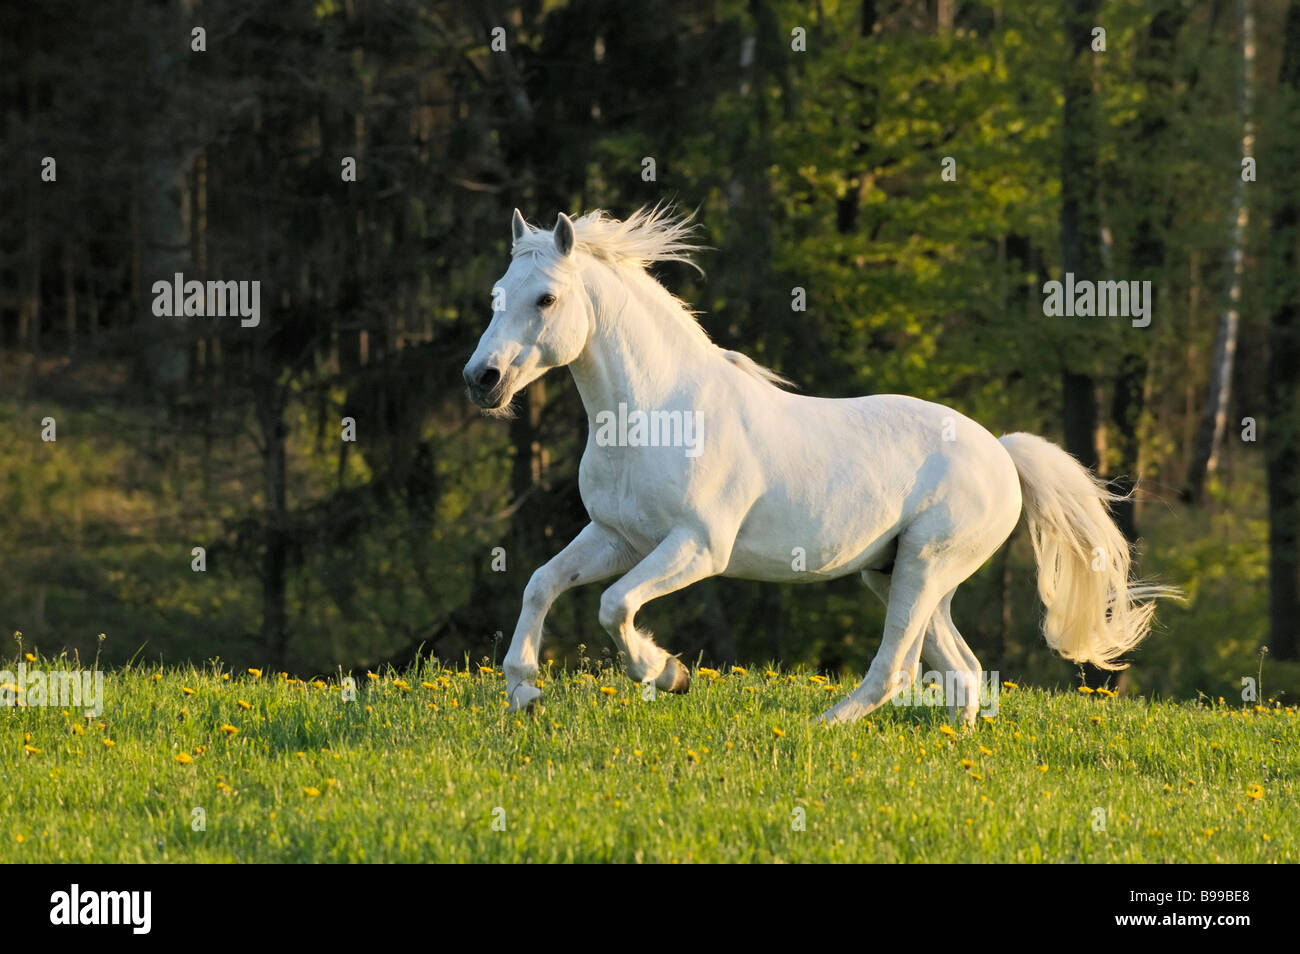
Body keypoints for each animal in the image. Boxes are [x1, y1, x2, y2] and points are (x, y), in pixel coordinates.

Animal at [463, 206, 1175, 725]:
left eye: (546, 299)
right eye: (496, 294)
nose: (482, 380)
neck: (657, 412)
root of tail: (1001, 451)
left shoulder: (697, 547)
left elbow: (613, 606)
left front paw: (668, 674)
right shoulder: (617, 537)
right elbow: (542, 584)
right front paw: (525, 692)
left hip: (925, 566)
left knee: (898, 669)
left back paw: (822, 728)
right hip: (896, 574)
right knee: (963, 672)